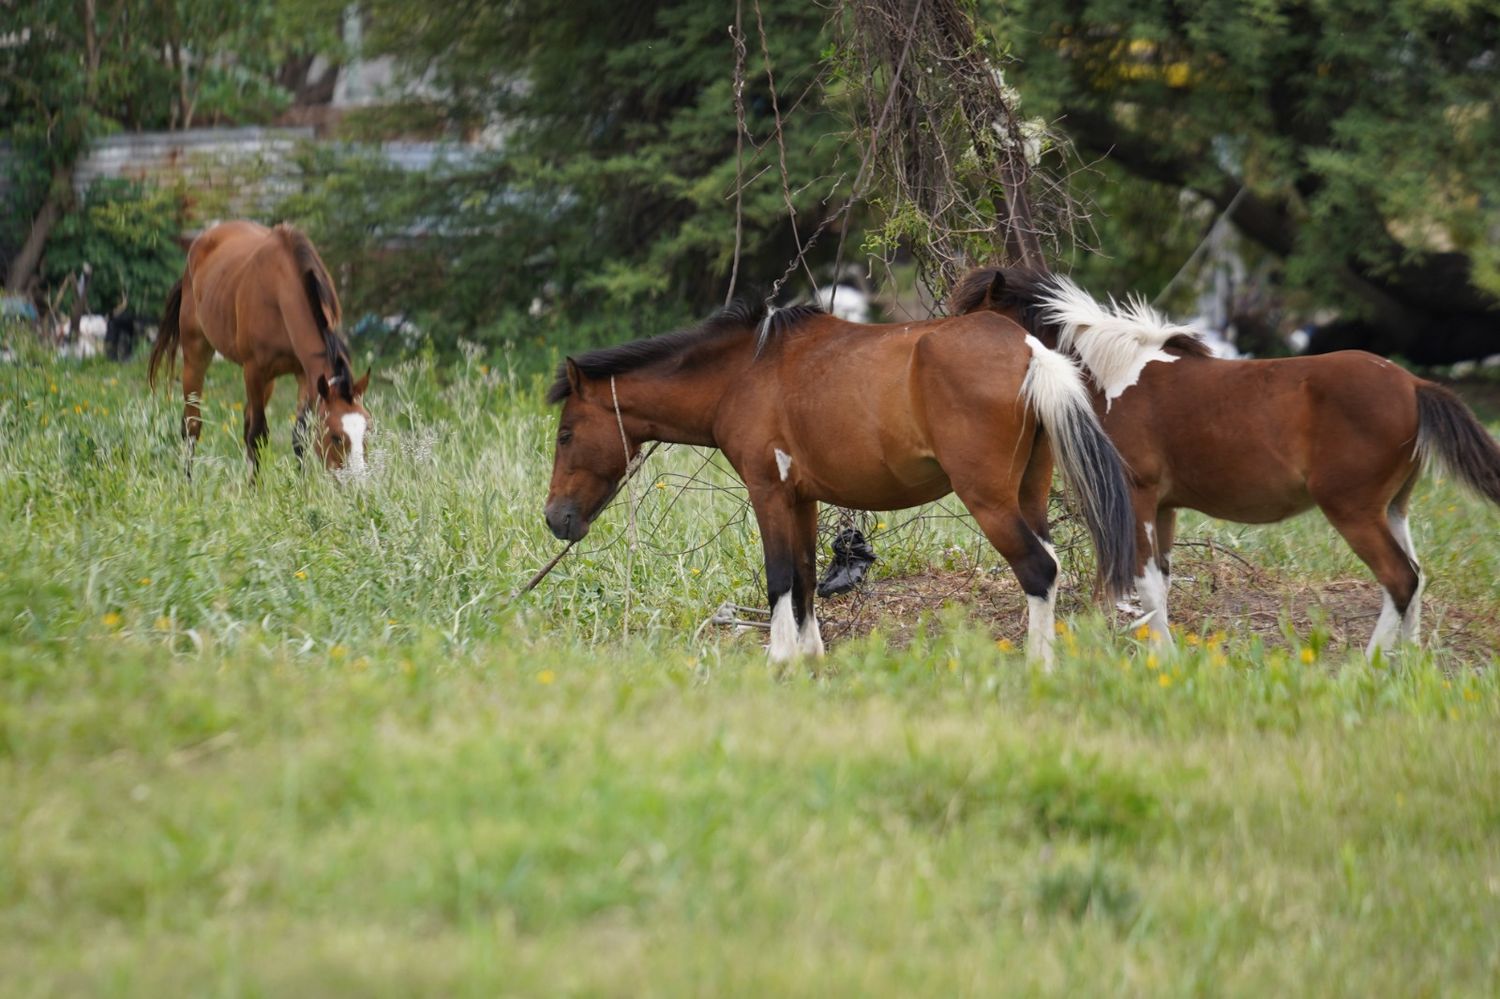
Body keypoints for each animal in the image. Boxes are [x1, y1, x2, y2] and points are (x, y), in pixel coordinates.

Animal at [147, 220, 370, 474]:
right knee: (192, 426)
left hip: (269, 381)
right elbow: (258, 434)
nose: (358, 479)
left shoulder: (305, 375)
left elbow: (299, 435)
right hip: (196, 355)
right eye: (335, 437)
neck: (281, 291)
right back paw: (188, 479)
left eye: (366, 432)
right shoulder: (254, 371)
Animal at [540, 300, 1134, 666]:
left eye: (566, 434)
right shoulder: (802, 499)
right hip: (1028, 495)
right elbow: (804, 578)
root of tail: (1031, 351)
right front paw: (810, 658)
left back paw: (1039, 667)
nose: (555, 518)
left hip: (989, 501)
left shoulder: (769, 493)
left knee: (1037, 569)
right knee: (1050, 565)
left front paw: (780, 659)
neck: (745, 372)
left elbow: (779, 576)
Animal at [948, 264, 1500, 654]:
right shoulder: (1164, 508)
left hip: (1354, 511)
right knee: (1414, 580)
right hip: (1393, 509)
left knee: (1399, 579)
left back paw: (1367, 668)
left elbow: (1145, 585)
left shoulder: (1138, 498)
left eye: (975, 317)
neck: (1114, 374)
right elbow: (1160, 584)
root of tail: (1413, 385)